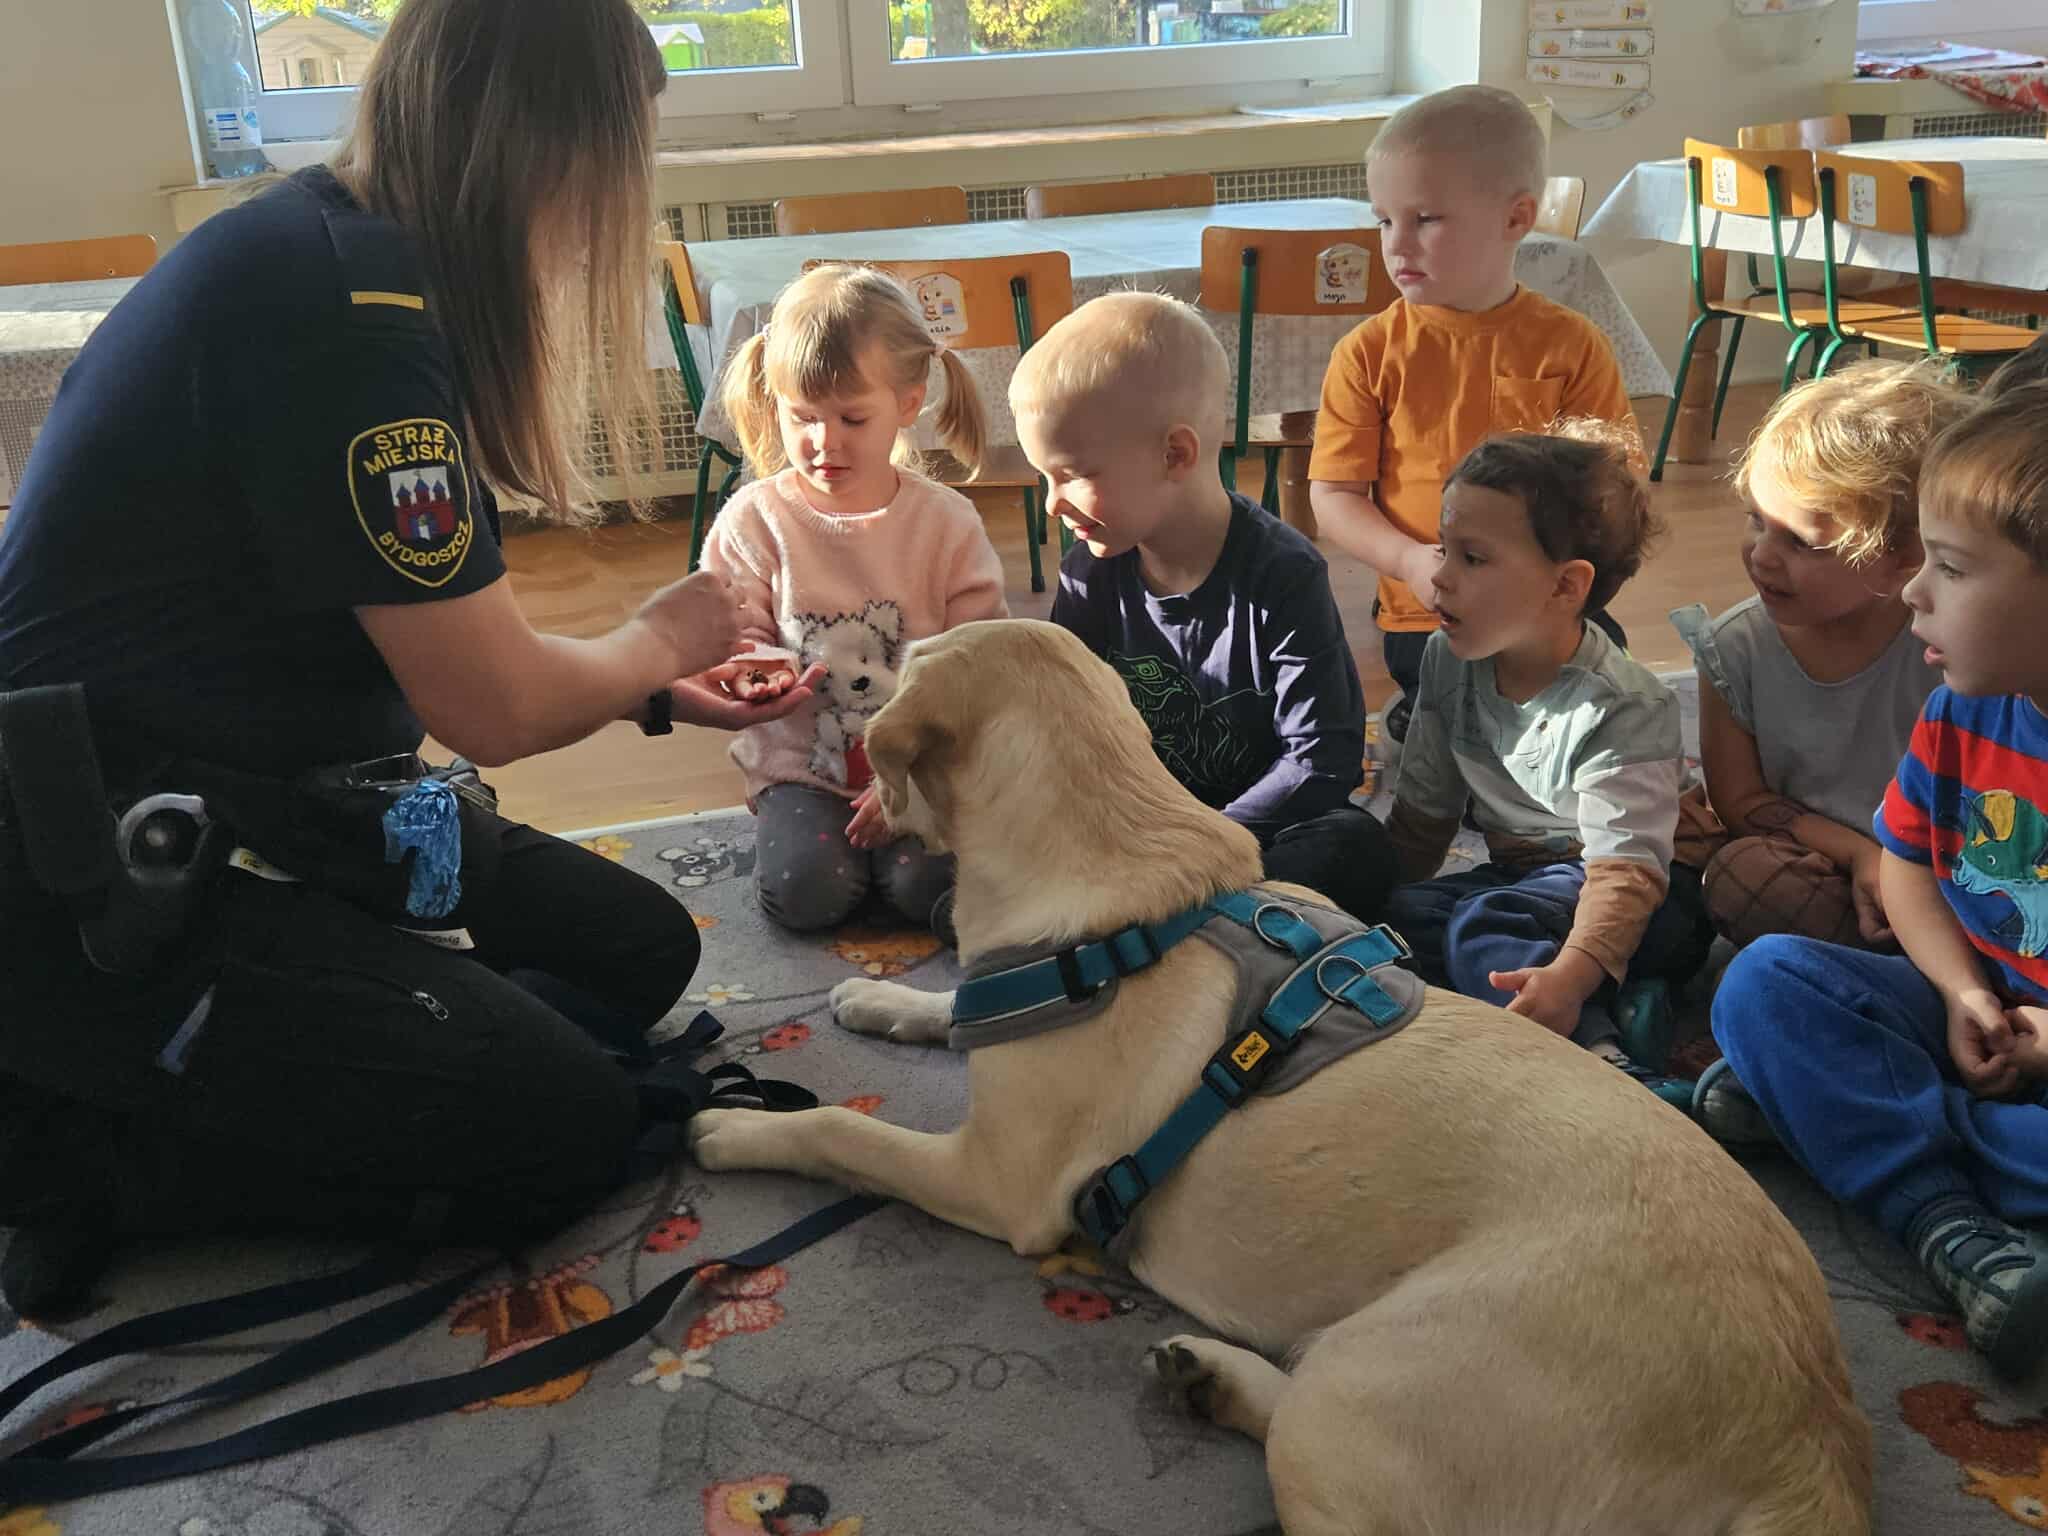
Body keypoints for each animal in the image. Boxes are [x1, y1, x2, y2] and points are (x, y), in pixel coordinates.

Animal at [691, 620, 1871, 1536]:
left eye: (896, 669)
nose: (845, 694)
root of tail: (1807, 1434)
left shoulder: (1001, 1184)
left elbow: (845, 1133)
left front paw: (730, 1128)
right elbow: (953, 1012)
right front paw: (876, 998)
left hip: (1368, 1385)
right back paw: (1204, 1378)